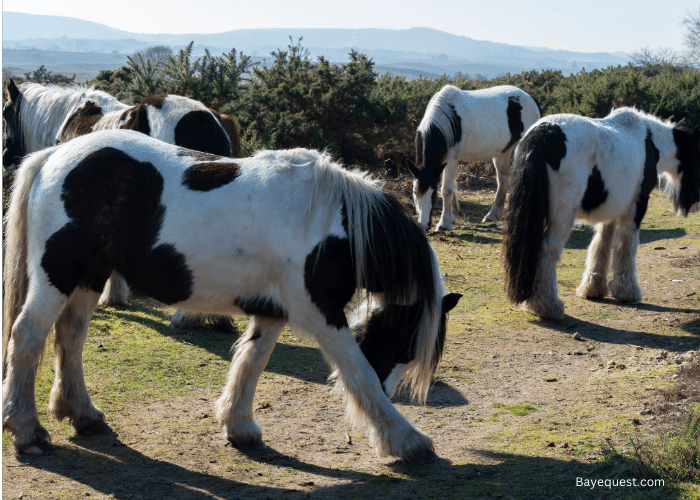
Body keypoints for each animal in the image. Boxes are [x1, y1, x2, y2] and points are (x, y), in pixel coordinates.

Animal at [2, 130, 464, 460]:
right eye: (406, 340)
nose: (392, 389)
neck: (333, 222)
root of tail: (53, 156)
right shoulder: (321, 313)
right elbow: (358, 372)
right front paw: (406, 440)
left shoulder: (273, 310)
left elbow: (251, 362)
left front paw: (238, 425)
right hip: (57, 275)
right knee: (27, 337)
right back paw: (27, 431)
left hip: (90, 276)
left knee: (71, 335)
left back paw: (81, 413)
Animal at [410, 84, 540, 230]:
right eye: (414, 192)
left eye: (433, 192)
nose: (423, 225)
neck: (448, 117)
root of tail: (530, 98)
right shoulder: (444, 161)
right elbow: (452, 186)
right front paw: (453, 216)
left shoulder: (451, 158)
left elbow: (446, 190)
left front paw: (444, 223)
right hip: (502, 152)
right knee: (503, 179)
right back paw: (492, 215)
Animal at [504, 108, 700, 320]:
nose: (696, 203)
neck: (649, 141)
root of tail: (544, 132)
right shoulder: (636, 207)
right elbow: (626, 246)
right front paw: (627, 291)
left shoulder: (611, 209)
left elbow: (601, 243)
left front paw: (593, 288)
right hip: (562, 216)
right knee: (548, 249)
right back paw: (547, 305)